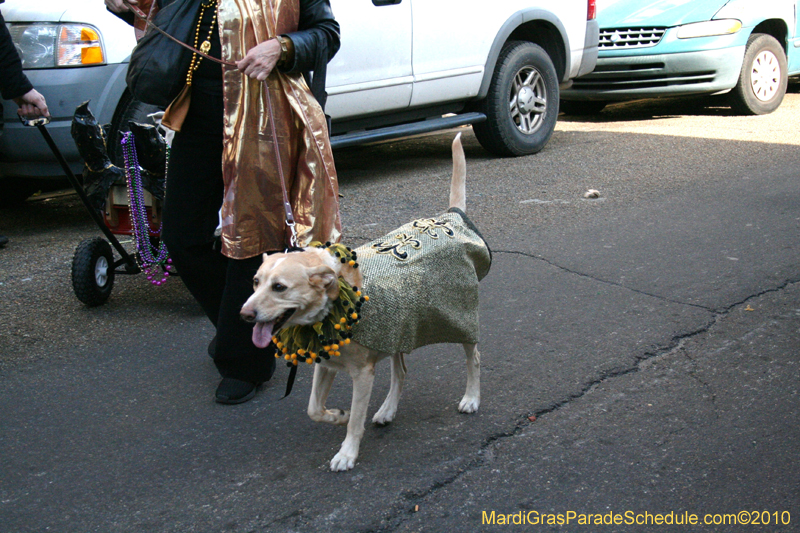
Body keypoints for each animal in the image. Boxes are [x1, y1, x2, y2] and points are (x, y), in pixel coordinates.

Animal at [238, 134, 490, 470]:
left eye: (279, 287)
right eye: (255, 282)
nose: (244, 314)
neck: (333, 302)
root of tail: (449, 216)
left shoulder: (362, 376)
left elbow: (356, 419)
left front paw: (347, 453)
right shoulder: (327, 365)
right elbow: (314, 409)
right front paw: (337, 415)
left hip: (462, 321)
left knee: (473, 359)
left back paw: (472, 398)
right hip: (399, 330)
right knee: (401, 372)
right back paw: (387, 410)